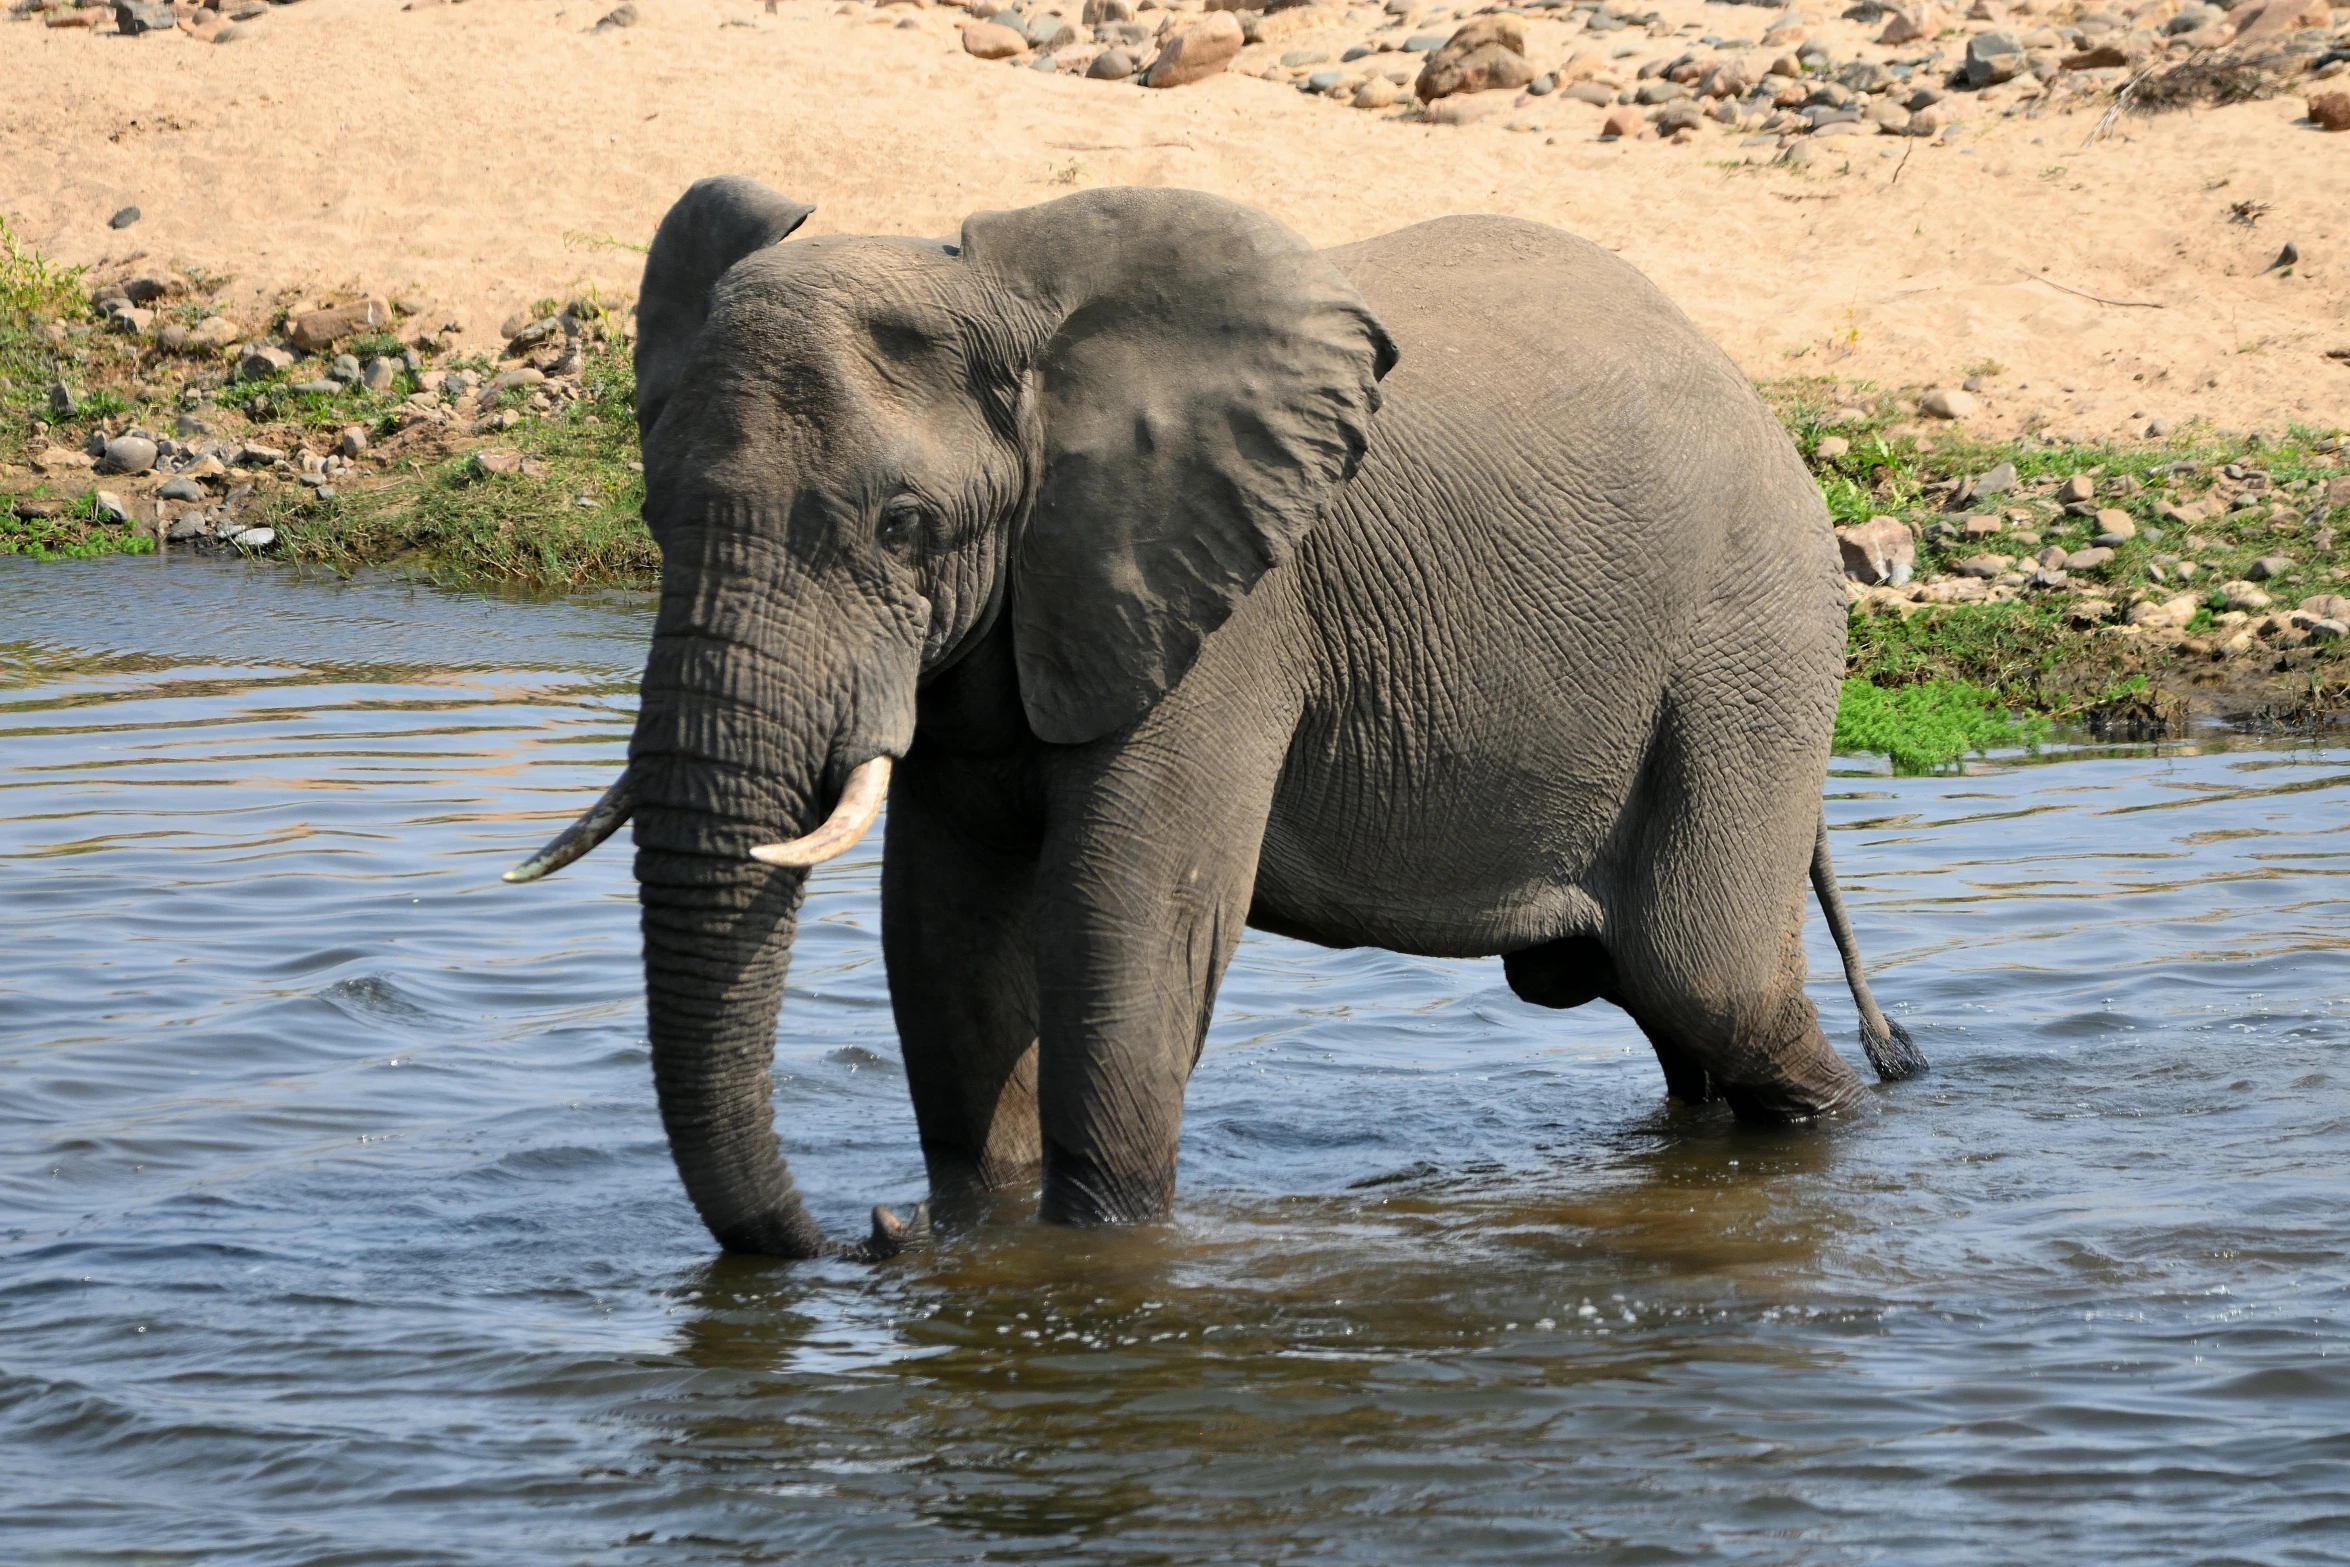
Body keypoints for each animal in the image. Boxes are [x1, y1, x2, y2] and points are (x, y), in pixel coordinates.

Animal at [505, 177, 1917, 1268]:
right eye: (656, 512)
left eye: (904, 527)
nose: (869, 1229)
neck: (1024, 319)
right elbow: (946, 928)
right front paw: (978, 1236)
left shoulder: (1228, 605)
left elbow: (1118, 909)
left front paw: (1096, 1247)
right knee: (1664, 1008)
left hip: (1748, 645)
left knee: (1704, 978)